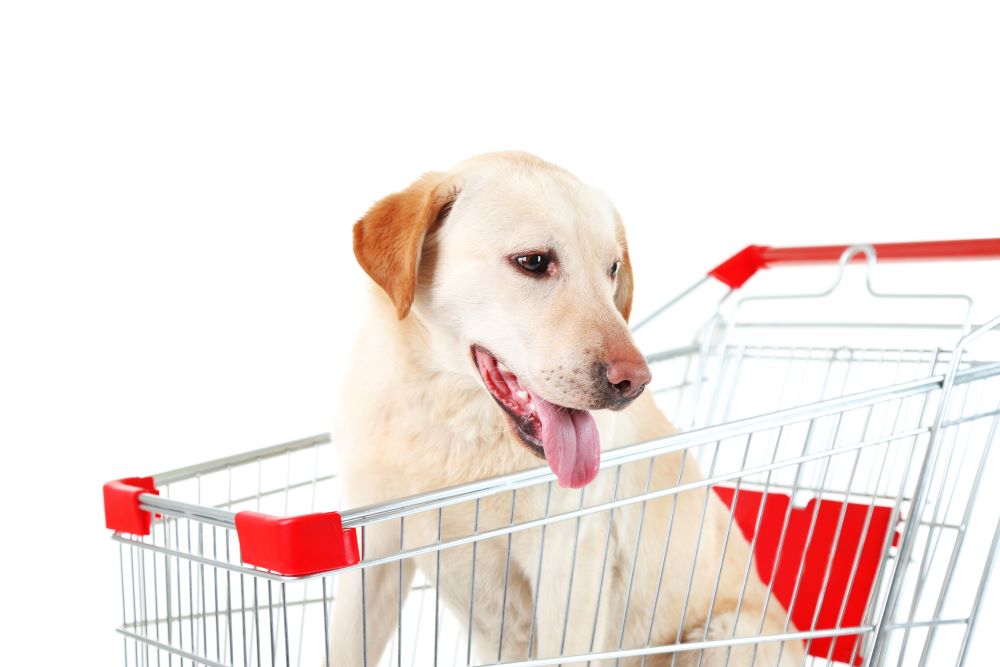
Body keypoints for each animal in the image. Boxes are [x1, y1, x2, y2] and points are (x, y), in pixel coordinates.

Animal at [332, 154, 800, 664]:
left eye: (612, 268)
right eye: (534, 261)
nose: (635, 382)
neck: (450, 423)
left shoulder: (568, 570)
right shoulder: (371, 558)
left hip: (723, 639)